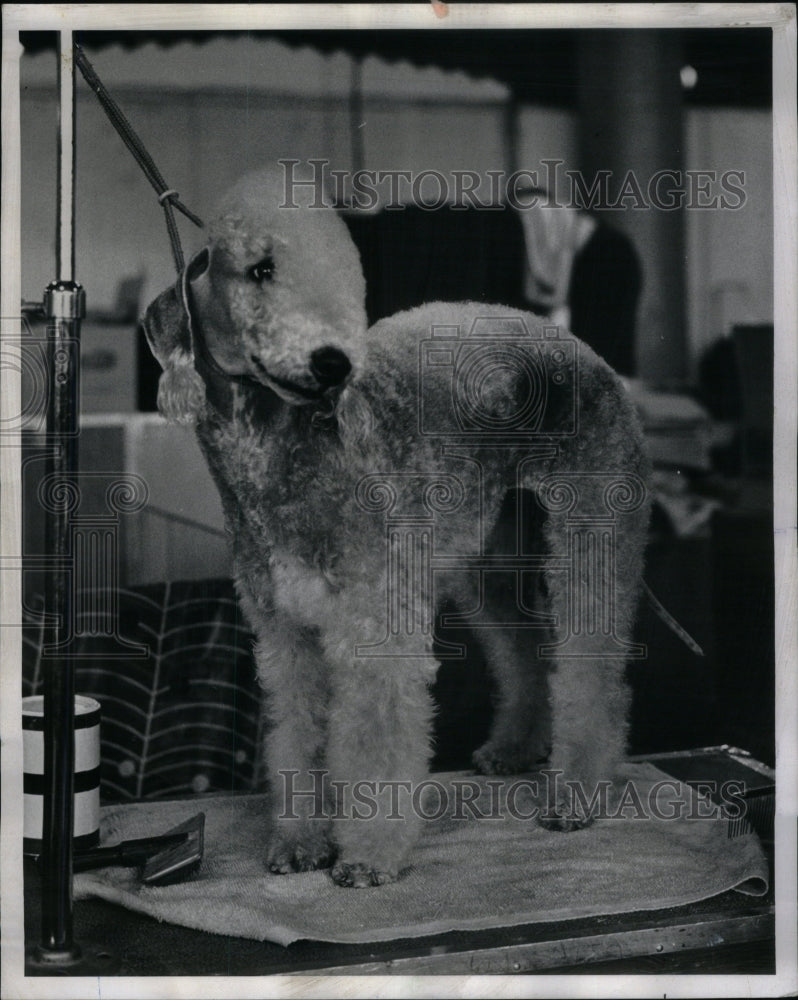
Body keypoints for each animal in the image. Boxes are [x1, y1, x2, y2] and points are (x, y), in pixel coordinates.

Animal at [144, 172, 652, 892]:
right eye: (260, 269)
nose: (332, 362)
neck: (279, 449)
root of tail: (582, 351)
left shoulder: (375, 622)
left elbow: (376, 738)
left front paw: (368, 858)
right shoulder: (285, 635)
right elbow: (297, 733)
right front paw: (299, 844)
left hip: (590, 530)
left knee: (593, 667)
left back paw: (579, 793)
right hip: (488, 559)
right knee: (525, 651)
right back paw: (514, 748)